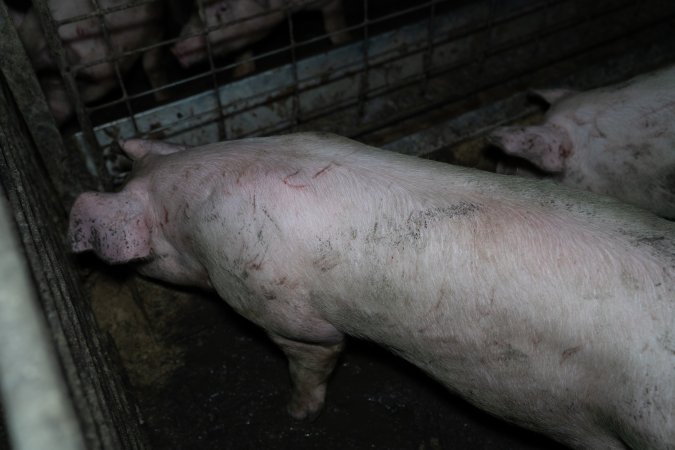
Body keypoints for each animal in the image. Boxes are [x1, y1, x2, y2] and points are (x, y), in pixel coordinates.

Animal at [10, 0, 167, 125]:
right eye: (41, 80)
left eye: (48, 77)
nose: (55, 111)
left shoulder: (156, 27)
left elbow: (152, 67)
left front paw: (162, 99)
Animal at [171, 0, 349, 69]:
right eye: (196, 8)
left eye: (223, 8)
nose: (175, 49)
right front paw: (242, 72)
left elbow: (333, 20)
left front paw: (342, 43)